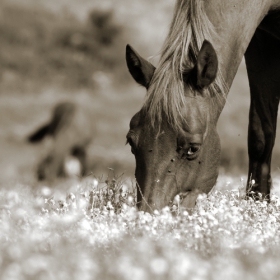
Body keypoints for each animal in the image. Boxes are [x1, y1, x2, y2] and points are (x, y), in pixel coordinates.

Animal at [126, 0, 280, 212]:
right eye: (131, 142)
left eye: (193, 148)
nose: (149, 213)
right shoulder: (261, 43)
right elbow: (261, 137)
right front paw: (256, 206)